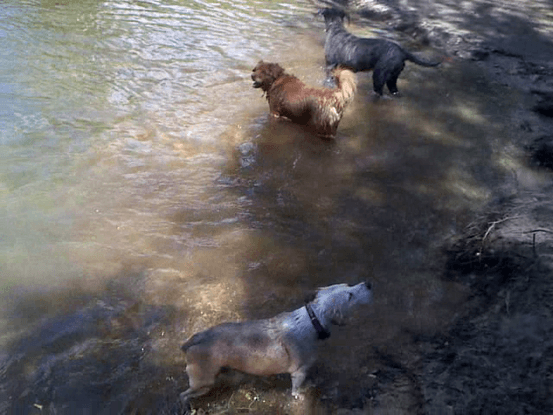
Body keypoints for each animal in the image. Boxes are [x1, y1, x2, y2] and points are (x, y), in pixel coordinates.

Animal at [179, 282, 374, 408]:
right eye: (349, 295)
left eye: (348, 285)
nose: (369, 283)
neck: (312, 321)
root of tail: (192, 341)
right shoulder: (299, 372)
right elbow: (296, 390)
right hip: (203, 382)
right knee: (185, 395)